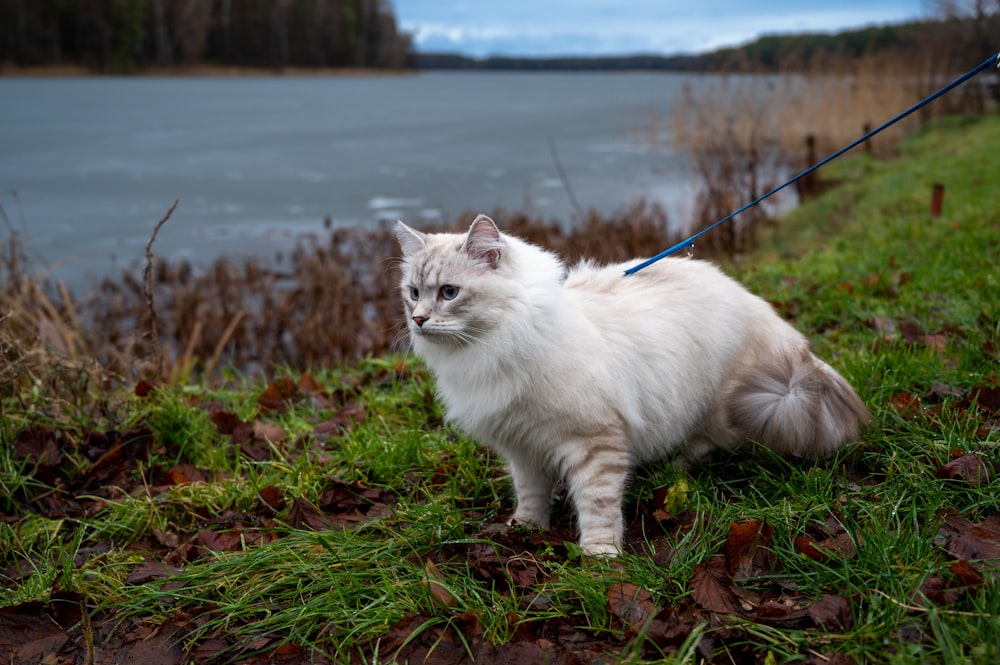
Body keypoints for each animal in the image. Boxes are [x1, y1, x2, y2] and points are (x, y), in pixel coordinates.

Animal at [394, 214, 864, 556]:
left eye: (450, 293)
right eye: (413, 293)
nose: (418, 320)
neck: (499, 342)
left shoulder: (595, 441)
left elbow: (598, 505)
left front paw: (600, 558)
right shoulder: (523, 446)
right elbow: (530, 494)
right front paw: (526, 529)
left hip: (720, 404)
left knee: (707, 444)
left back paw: (672, 469)